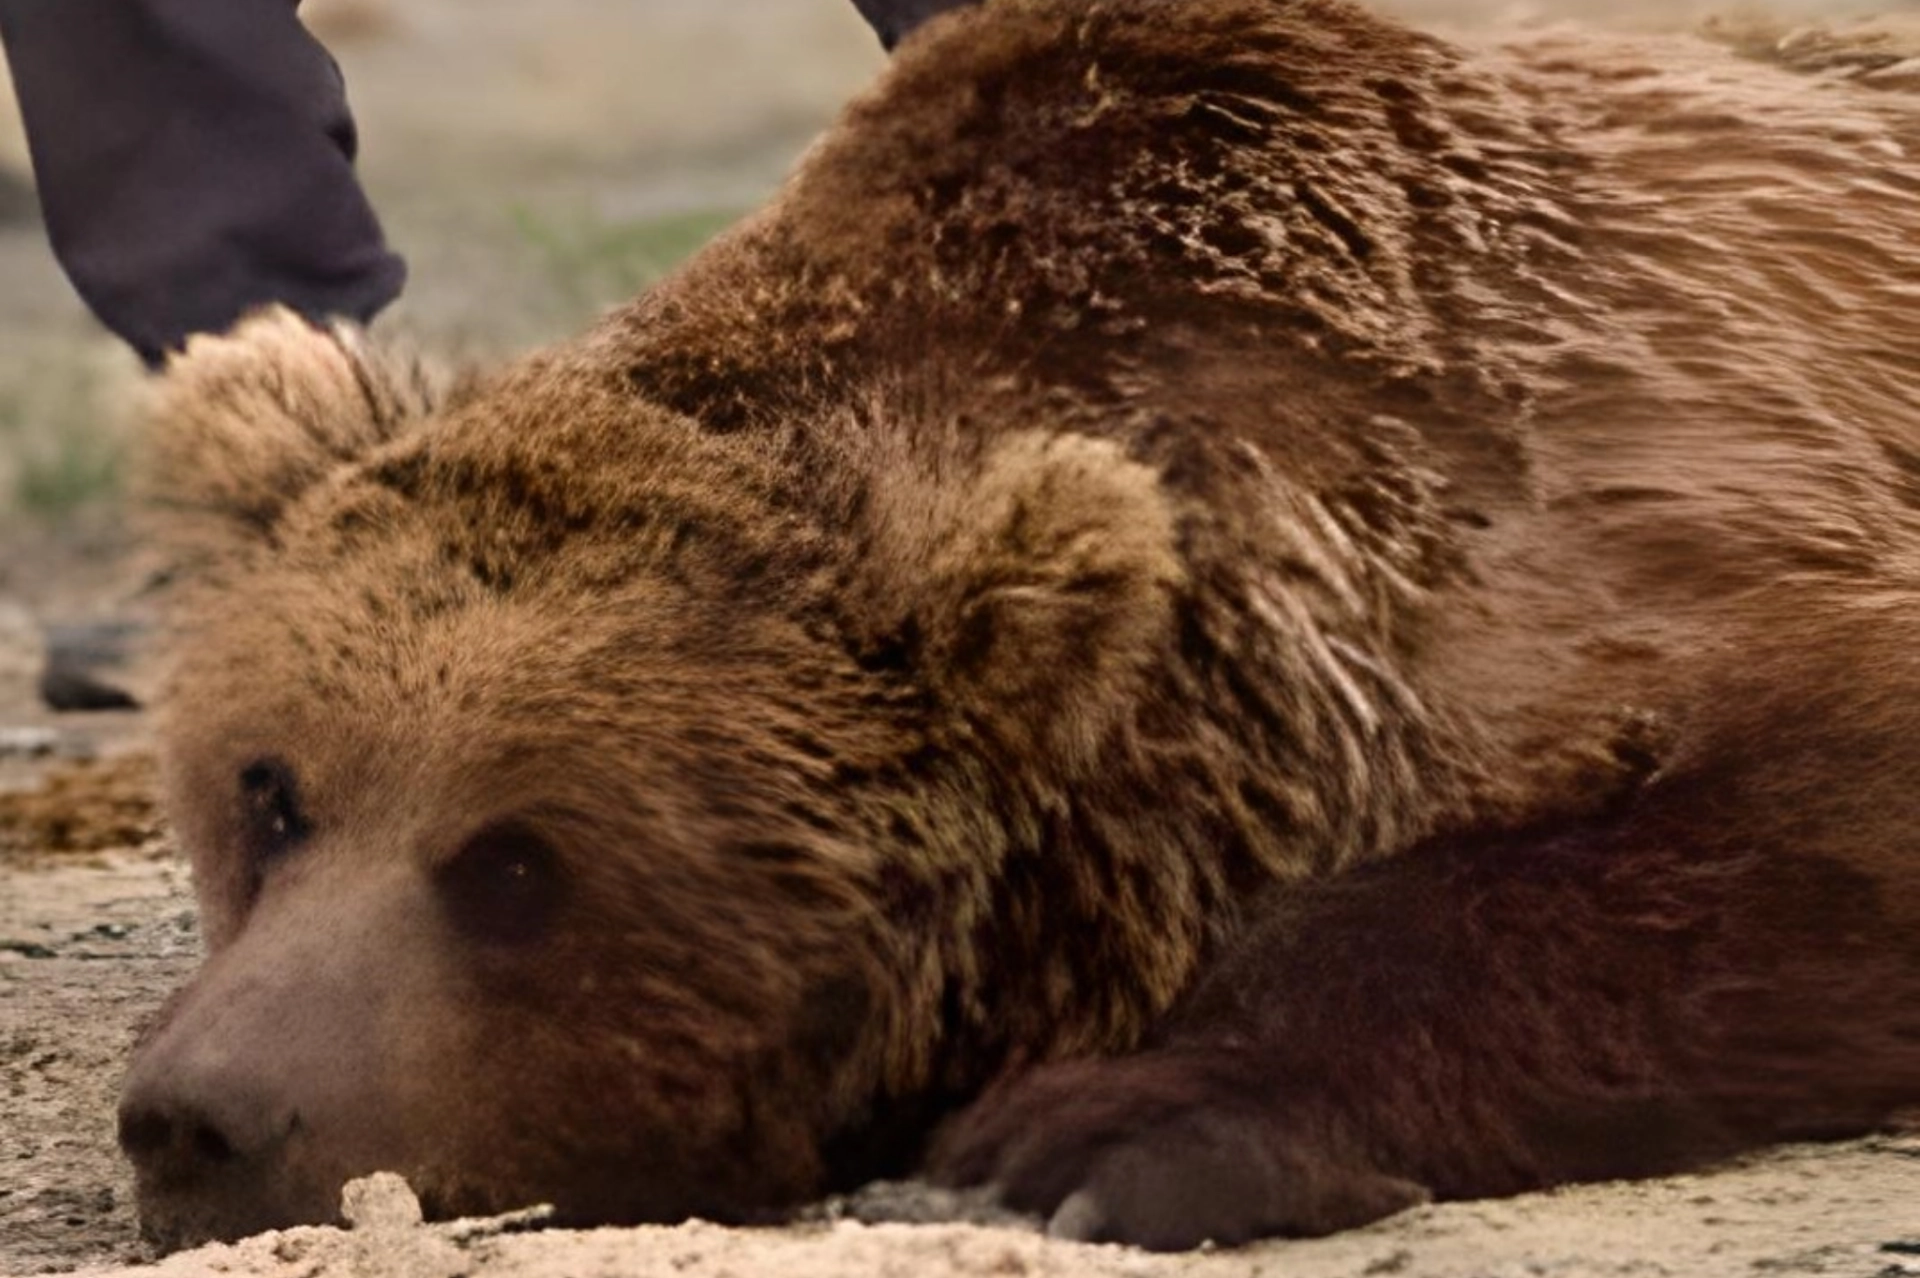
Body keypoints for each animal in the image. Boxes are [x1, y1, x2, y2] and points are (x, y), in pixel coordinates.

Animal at [118, 0, 1920, 1254]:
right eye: (270, 791)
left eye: (514, 859)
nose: (198, 1117)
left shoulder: (1615, 494)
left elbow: (1807, 795)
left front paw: (1107, 1130)